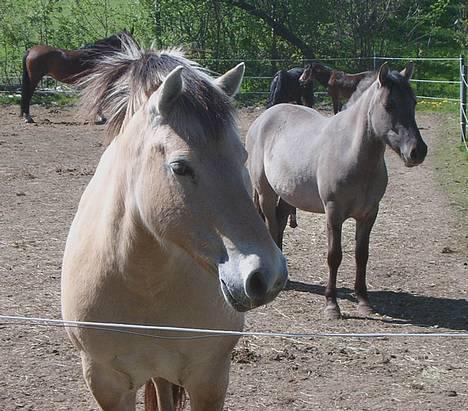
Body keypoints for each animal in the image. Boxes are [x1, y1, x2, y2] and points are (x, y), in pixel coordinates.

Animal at [61, 36, 288, 411]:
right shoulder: (106, 384)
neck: (143, 279)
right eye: (180, 167)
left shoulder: (209, 379)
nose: (266, 276)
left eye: (242, 157)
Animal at [249, 63, 428, 322]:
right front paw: (332, 305)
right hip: (265, 193)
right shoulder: (334, 213)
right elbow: (334, 256)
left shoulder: (369, 214)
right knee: (272, 226)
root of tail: (264, 117)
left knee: (280, 224)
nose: (417, 151)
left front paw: (364, 301)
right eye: (389, 105)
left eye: (414, 102)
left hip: (288, 194)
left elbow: (361, 255)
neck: (352, 154)